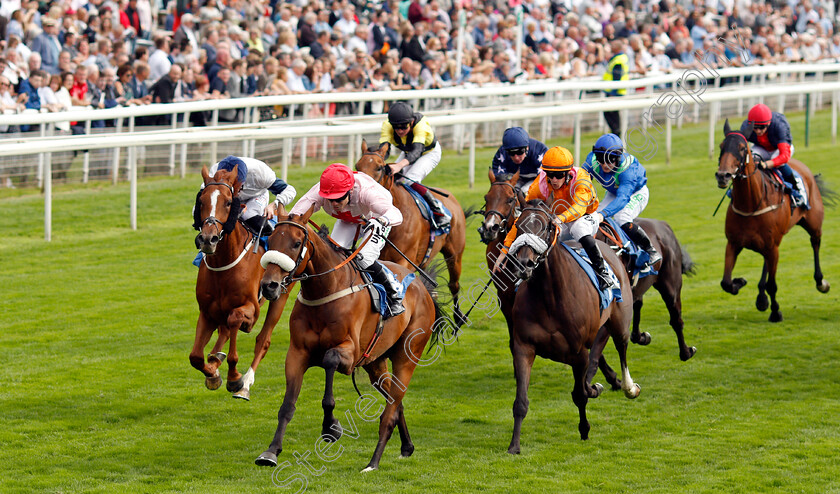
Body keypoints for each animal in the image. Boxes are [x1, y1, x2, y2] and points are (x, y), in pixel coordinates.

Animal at [254, 206, 440, 472]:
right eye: (269, 240)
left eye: (296, 243)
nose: (269, 286)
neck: (325, 291)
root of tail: (423, 288)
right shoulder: (297, 353)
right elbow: (287, 405)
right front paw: (271, 452)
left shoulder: (349, 354)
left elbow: (329, 362)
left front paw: (331, 427)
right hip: (376, 362)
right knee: (395, 401)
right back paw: (406, 446)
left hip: (407, 357)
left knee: (390, 411)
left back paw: (373, 462)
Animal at [354, 141, 470, 322]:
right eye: (357, 166)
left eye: (379, 168)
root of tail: (451, 198)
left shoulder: (403, 260)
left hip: (455, 254)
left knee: (454, 284)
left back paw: (458, 317)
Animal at [498, 199, 636, 454]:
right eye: (518, 226)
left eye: (545, 227)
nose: (524, 264)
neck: (550, 297)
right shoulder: (524, 348)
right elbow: (521, 401)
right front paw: (514, 445)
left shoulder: (578, 353)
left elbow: (579, 395)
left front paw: (584, 429)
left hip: (620, 322)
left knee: (621, 348)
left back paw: (629, 387)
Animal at [596, 218, 696, 360]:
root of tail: (663, 224)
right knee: (638, 305)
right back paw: (641, 337)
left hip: (671, 285)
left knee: (676, 319)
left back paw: (686, 352)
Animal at [720, 118, 832, 320]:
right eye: (721, 146)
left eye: (742, 148)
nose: (722, 175)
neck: (751, 204)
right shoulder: (733, 243)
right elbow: (725, 282)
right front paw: (739, 282)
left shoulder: (773, 246)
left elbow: (772, 285)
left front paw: (775, 312)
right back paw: (761, 298)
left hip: (813, 224)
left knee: (815, 242)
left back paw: (821, 282)